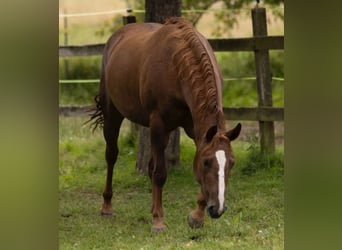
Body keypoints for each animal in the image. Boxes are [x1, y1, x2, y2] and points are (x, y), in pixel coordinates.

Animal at [89, 17, 242, 232]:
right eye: (206, 162)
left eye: (232, 162)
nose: (218, 209)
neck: (177, 67)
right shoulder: (158, 124)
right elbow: (160, 173)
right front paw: (159, 221)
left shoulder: (195, 129)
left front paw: (197, 215)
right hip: (114, 114)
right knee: (111, 156)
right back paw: (107, 206)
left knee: (150, 165)